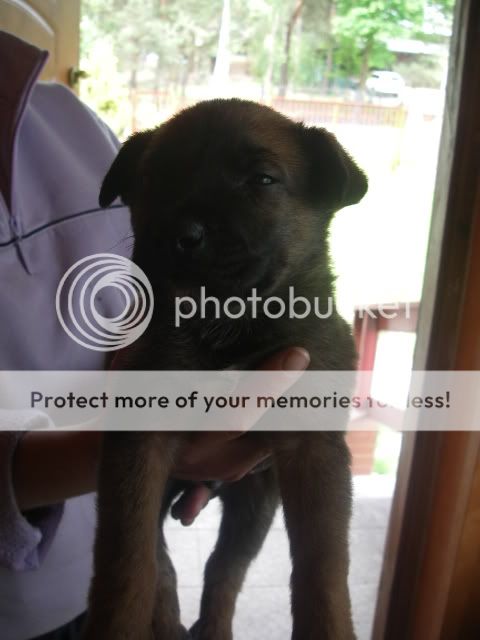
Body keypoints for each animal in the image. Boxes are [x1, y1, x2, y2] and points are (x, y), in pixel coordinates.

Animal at [83, 99, 367, 640]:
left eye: (262, 180)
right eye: (153, 178)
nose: (180, 236)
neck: (224, 321)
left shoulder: (312, 447)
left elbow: (323, 565)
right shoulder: (139, 443)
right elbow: (127, 562)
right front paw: (117, 624)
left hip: (256, 497)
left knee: (225, 567)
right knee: (163, 567)